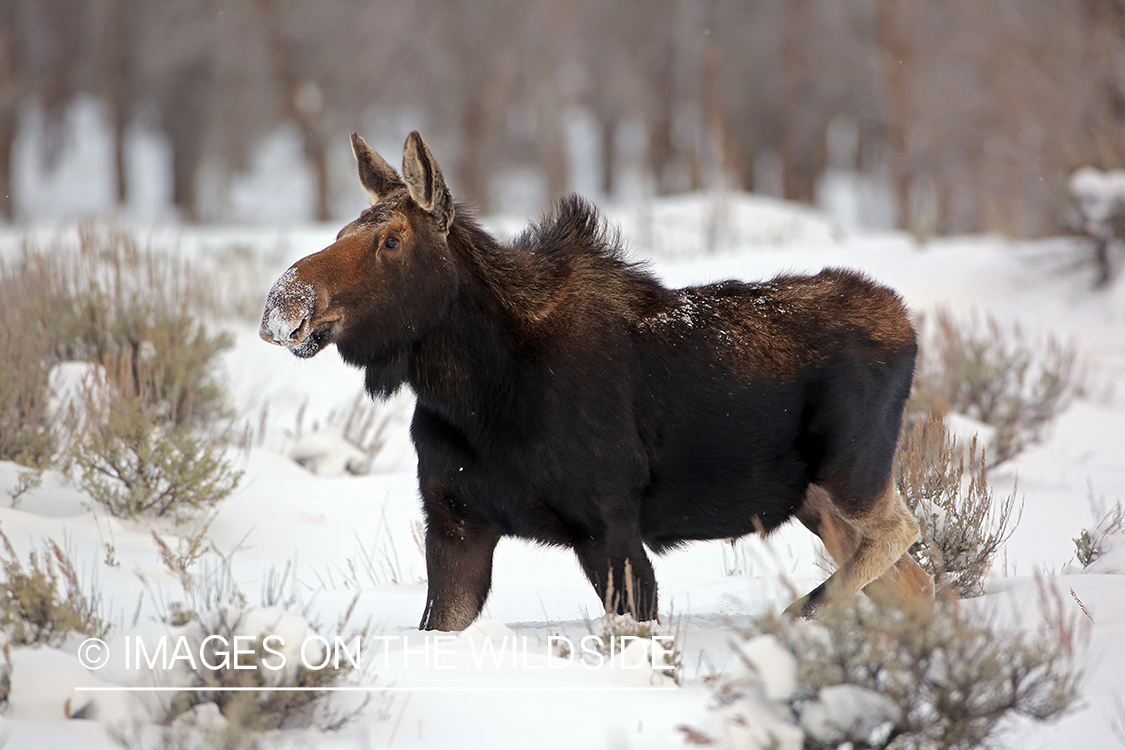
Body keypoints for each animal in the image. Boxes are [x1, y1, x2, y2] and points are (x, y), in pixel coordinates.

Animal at [258, 132, 936, 629]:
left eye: (392, 240)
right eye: (341, 231)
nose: (283, 305)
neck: (473, 390)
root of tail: (905, 320)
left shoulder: (608, 527)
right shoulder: (455, 523)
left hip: (852, 469)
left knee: (904, 534)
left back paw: (800, 611)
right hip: (817, 501)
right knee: (919, 584)